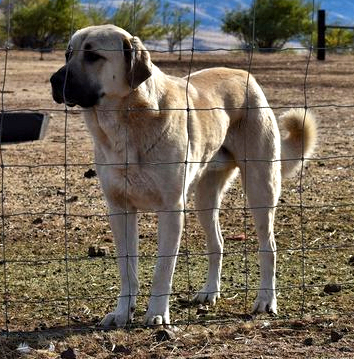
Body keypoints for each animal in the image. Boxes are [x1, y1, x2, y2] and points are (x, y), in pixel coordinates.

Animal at [49, 24, 316, 330]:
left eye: (93, 55)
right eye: (68, 53)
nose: (53, 81)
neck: (125, 124)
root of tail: (244, 74)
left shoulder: (171, 210)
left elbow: (162, 269)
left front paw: (156, 314)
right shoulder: (120, 210)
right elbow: (128, 270)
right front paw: (122, 313)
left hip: (261, 189)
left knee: (268, 247)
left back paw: (266, 300)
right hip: (205, 200)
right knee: (217, 244)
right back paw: (210, 291)